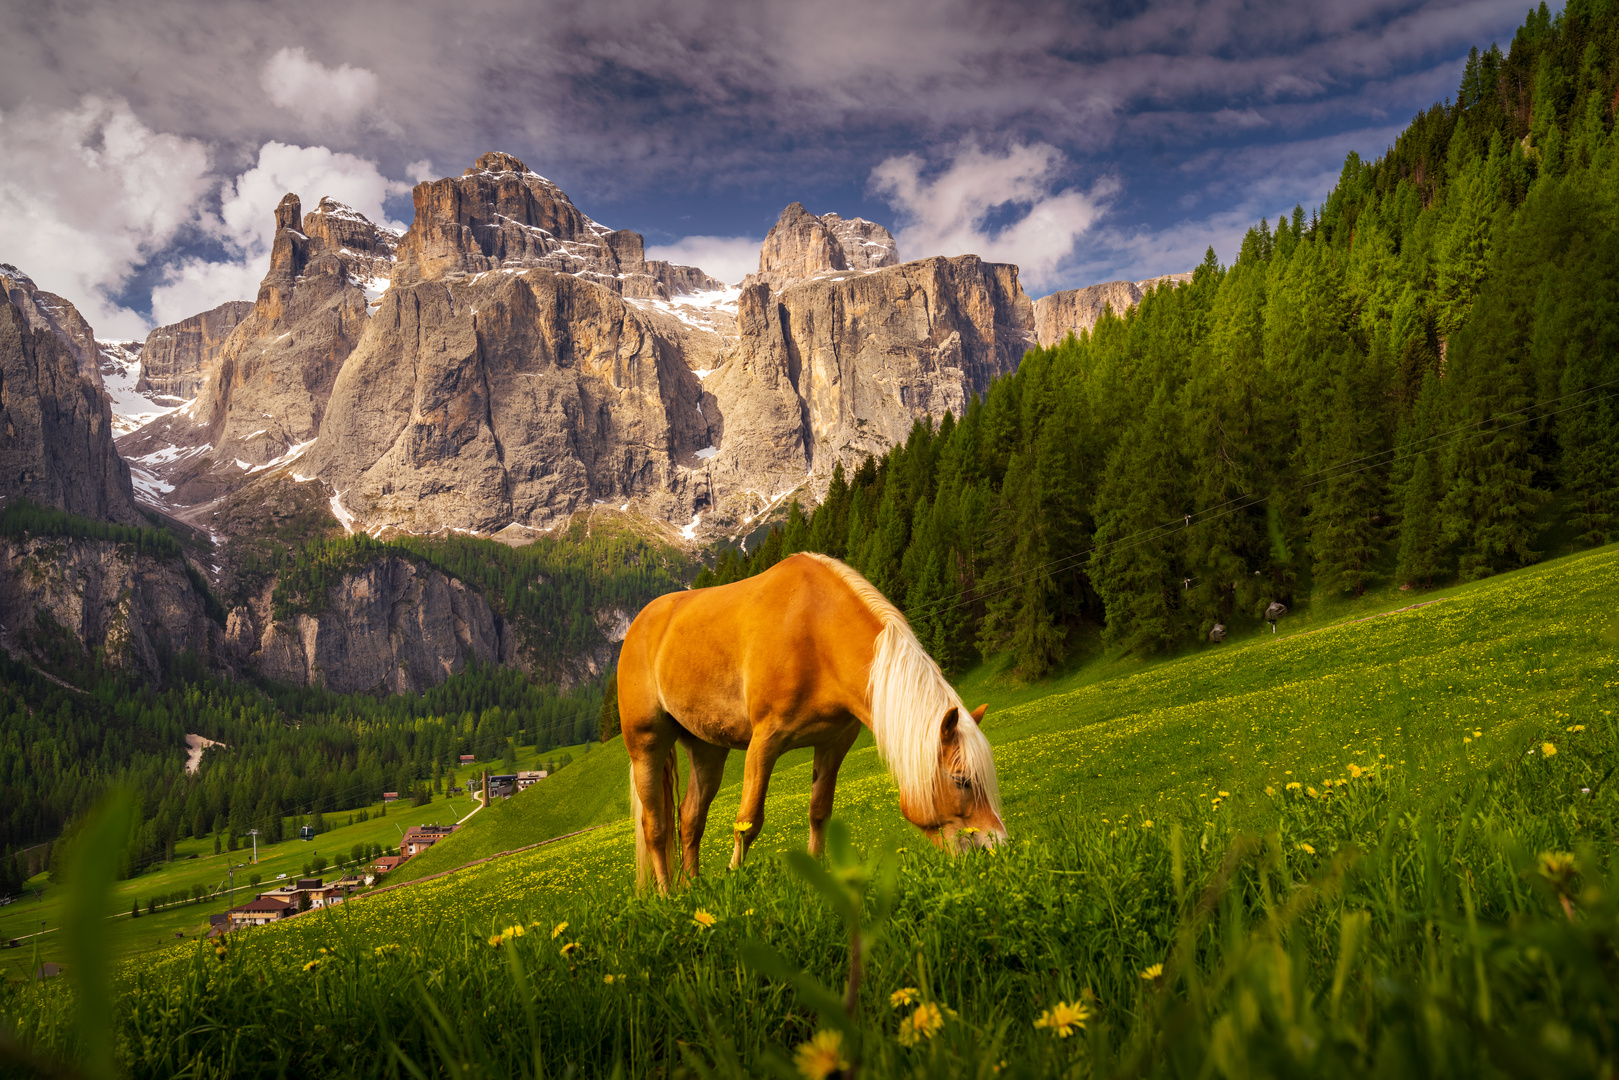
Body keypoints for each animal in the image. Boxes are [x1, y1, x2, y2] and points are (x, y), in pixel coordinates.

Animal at [615, 553, 1003, 893]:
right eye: (961, 780)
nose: (996, 846)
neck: (815, 631)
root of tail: (639, 625)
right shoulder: (764, 741)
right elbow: (748, 822)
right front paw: (735, 878)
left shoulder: (834, 742)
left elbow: (819, 813)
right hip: (646, 745)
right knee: (655, 826)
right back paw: (667, 894)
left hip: (708, 749)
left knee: (690, 819)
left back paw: (692, 887)